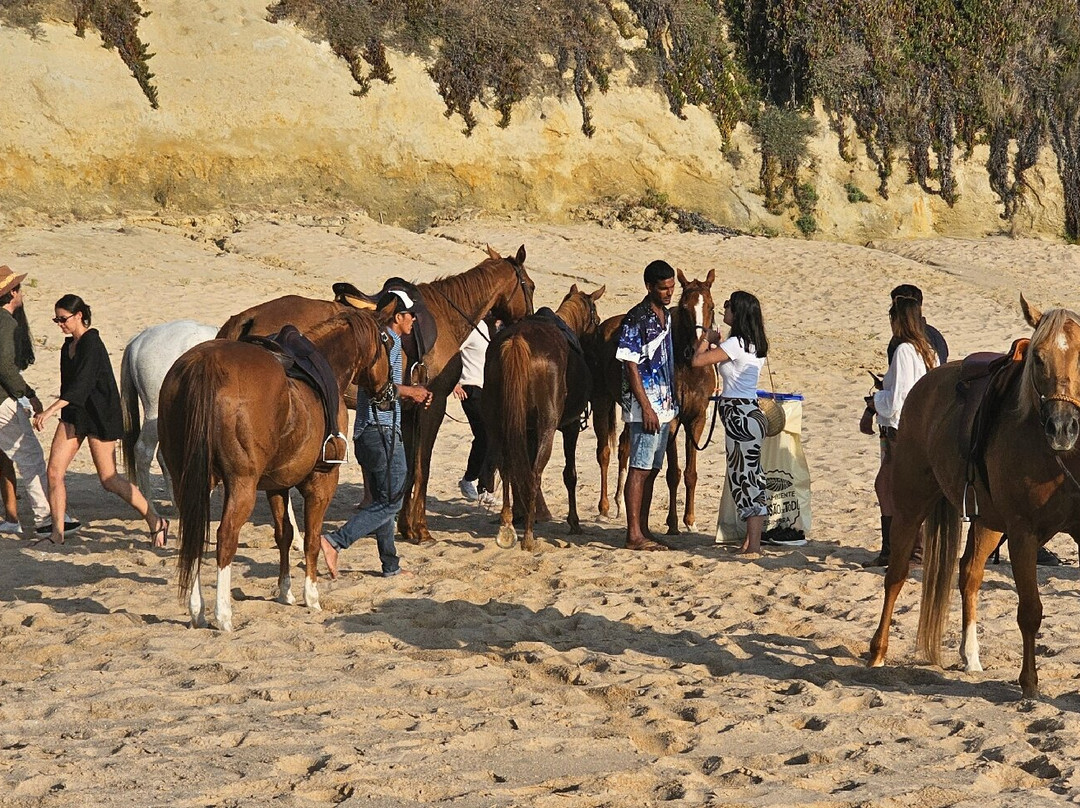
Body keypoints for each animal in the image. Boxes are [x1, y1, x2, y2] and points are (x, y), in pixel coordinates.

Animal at [159, 307, 391, 630]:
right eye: (389, 343)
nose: (389, 392)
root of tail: (205, 363)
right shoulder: (321, 482)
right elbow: (312, 538)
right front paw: (311, 596)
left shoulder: (277, 484)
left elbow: (284, 534)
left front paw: (285, 591)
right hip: (241, 486)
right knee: (225, 538)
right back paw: (223, 614)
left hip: (190, 484)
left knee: (192, 538)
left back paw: (197, 609)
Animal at [216, 244, 536, 545]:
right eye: (530, 286)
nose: (530, 319)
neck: (445, 318)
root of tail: (248, 316)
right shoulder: (431, 406)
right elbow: (422, 467)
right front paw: (420, 530)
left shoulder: (407, 410)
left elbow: (408, 467)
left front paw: (405, 525)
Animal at [484, 284, 605, 551]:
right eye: (597, 320)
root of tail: (517, 340)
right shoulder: (570, 427)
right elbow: (570, 475)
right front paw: (574, 522)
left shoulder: (526, 430)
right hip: (547, 427)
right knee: (534, 474)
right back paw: (528, 536)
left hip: (498, 423)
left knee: (507, 468)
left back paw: (507, 525)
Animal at [589, 269, 717, 533]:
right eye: (685, 308)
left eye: (711, 306)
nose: (697, 349)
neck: (690, 369)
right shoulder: (672, 420)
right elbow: (673, 473)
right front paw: (673, 523)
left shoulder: (697, 419)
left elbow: (690, 473)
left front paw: (690, 521)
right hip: (601, 400)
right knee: (604, 452)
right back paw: (604, 509)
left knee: (624, 446)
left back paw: (621, 505)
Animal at [868, 296, 1080, 698]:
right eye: (1039, 358)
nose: (1062, 427)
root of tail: (927, 380)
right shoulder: (1023, 534)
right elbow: (1030, 610)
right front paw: (1029, 684)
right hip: (911, 505)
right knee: (896, 575)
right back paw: (877, 653)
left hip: (989, 521)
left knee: (969, 573)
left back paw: (971, 655)